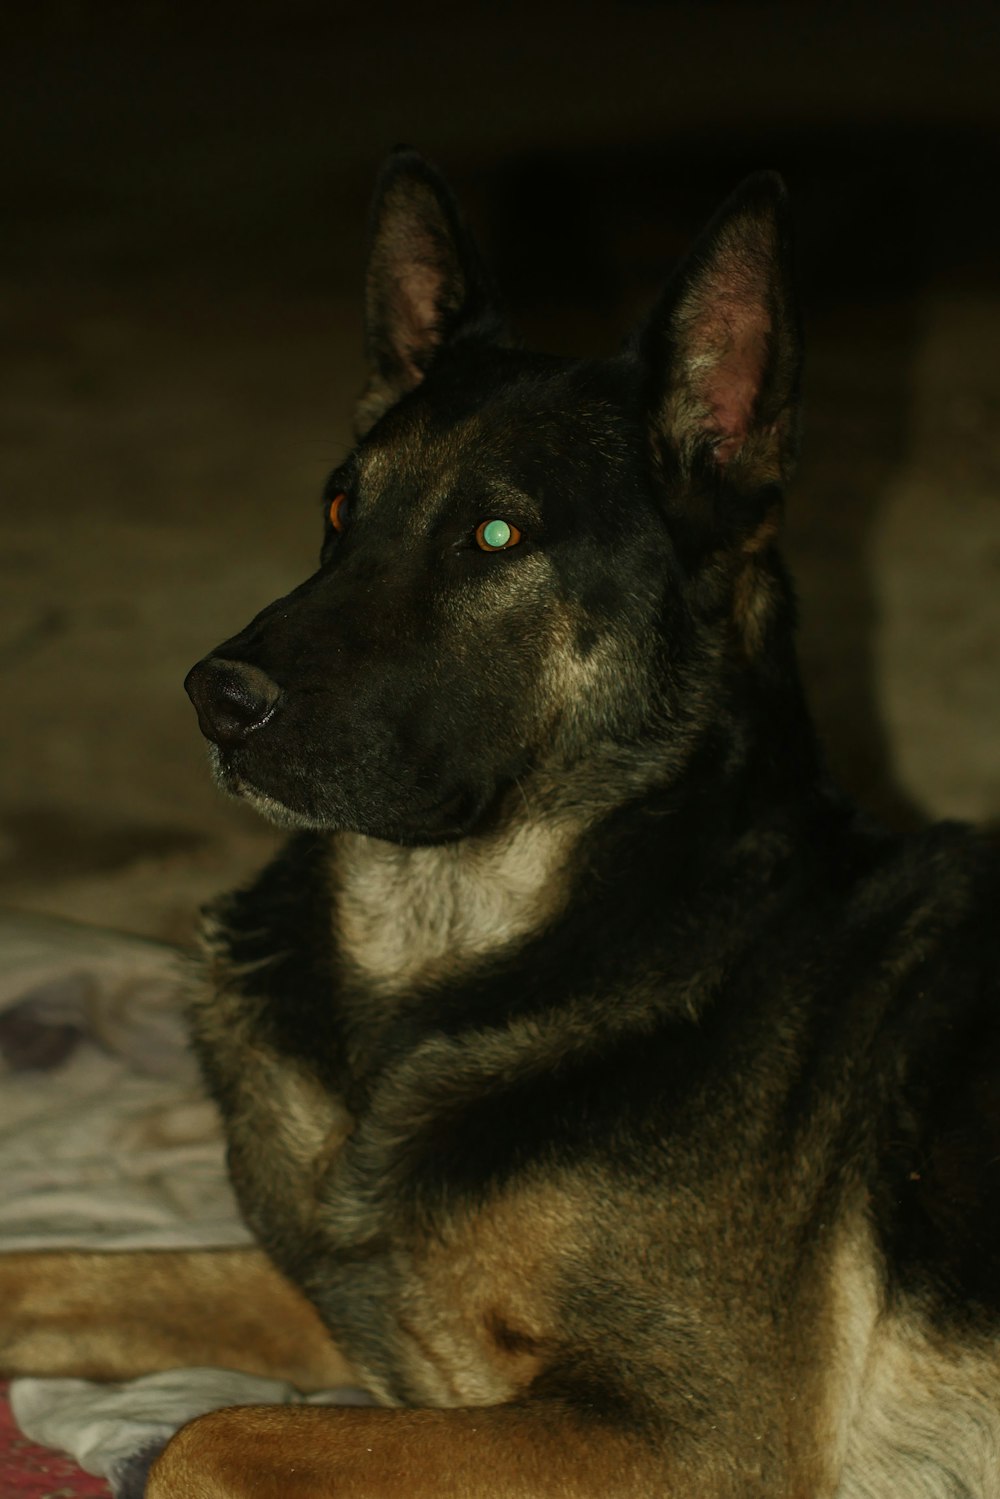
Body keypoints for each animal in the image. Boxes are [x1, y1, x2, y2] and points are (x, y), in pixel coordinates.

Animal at [1, 143, 1000, 1499]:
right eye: (338, 508)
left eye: (494, 534)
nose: (216, 699)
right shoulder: (351, 1302)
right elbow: (49, 1269)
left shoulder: (681, 1434)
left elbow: (205, 1435)